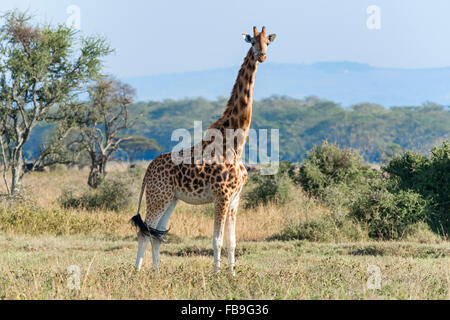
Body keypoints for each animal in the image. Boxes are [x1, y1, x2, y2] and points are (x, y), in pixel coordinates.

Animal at [132, 25, 276, 276]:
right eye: (252, 42)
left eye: (267, 42)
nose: (262, 56)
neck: (235, 144)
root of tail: (148, 170)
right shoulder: (222, 196)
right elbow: (216, 240)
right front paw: (217, 274)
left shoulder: (235, 199)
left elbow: (232, 241)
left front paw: (232, 274)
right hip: (158, 196)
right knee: (145, 231)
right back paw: (137, 272)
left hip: (171, 199)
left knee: (157, 233)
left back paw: (157, 273)